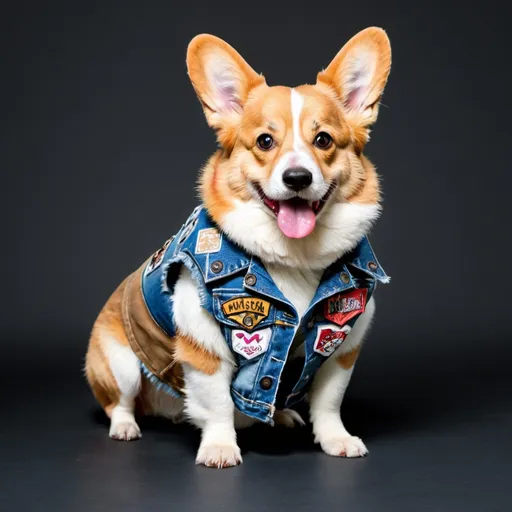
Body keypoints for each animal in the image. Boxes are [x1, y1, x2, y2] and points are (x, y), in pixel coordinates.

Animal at [86, 28, 392, 468]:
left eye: (323, 140)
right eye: (265, 141)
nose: (297, 177)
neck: (295, 256)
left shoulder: (340, 344)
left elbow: (329, 400)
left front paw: (336, 438)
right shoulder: (204, 346)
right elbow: (216, 403)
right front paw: (219, 447)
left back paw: (281, 416)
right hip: (120, 363)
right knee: (121, 402)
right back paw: (126, 426)